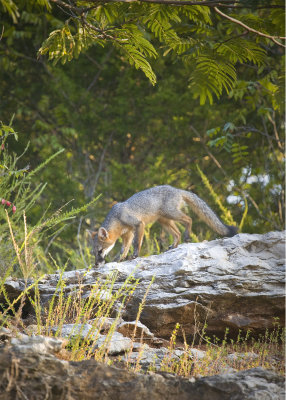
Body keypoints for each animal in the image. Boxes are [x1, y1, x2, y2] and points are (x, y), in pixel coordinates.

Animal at [92, 185, 237, 266]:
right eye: (94, 253)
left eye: (100, 251)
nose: (96, 264)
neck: (116, 216)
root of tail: (177, 189)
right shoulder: (127, 234)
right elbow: (124, 249)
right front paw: (119, 259)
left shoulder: (138, 224)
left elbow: (136, 243)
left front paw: (135, 255)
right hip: (164, 221)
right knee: (177, 233)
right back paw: (174, 246)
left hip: (171, 214)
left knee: (188, 219)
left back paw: (187, 236)